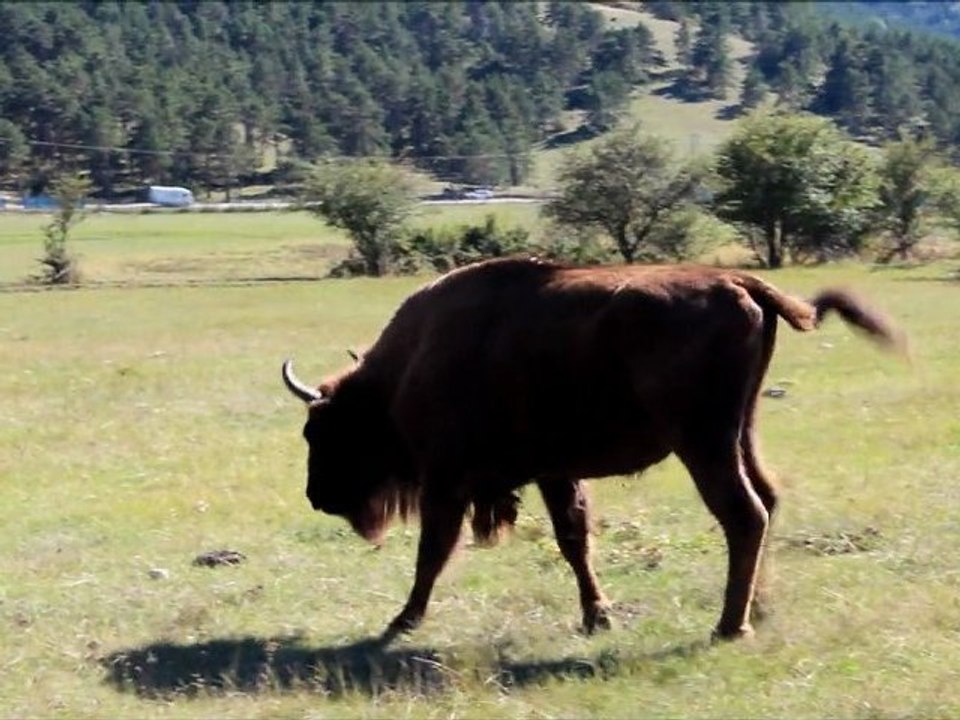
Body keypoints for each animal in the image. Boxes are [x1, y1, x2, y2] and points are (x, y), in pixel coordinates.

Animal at [282, 257, 904, 641]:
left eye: (320, 433)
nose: (315, 496)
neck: (405, 368)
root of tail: (738, 282)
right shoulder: (554, 472)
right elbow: (573, 540)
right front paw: (596, 617)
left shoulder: (446, 480)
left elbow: (433, 551)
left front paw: (402, 621)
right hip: (741, 433)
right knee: (768, 501)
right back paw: (761, 608)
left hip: (704, 444)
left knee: (744, 513)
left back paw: (730, 626)